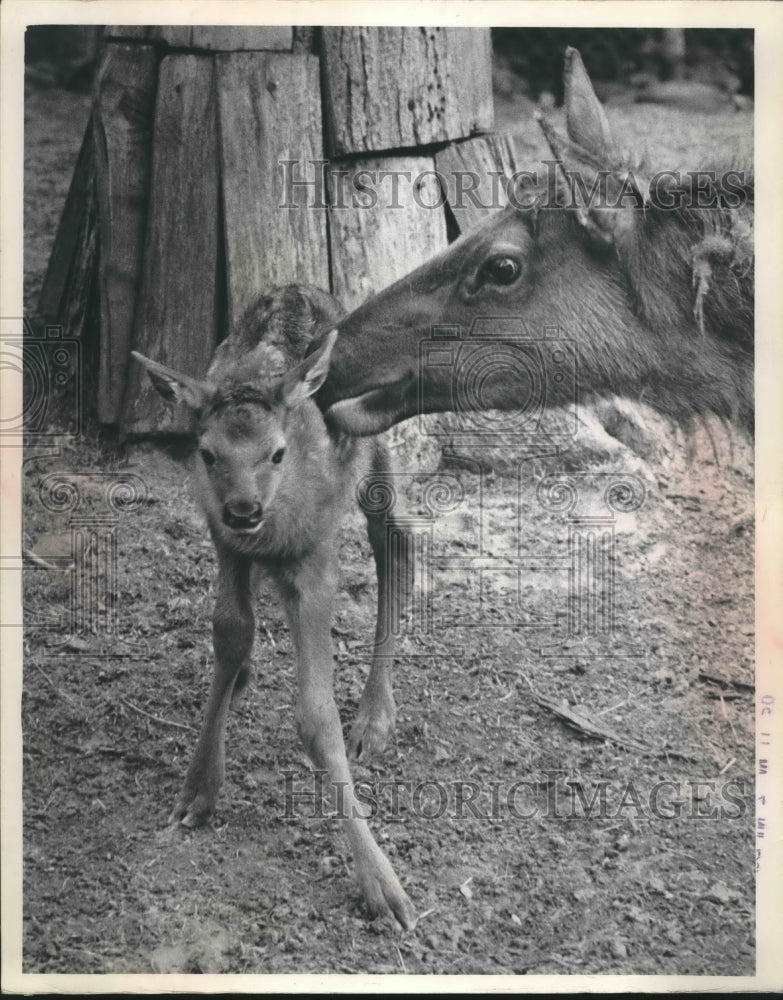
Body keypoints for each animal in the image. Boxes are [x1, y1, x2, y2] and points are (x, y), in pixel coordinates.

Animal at [135, 284, 416, 928]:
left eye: (278, 453)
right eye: (207, 453)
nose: (244, 508)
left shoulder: (316, 560)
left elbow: (315, 716)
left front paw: (382, 886)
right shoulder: (222, 540)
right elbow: (229, 630)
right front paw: (197, 789)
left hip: (375, 445)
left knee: (394, 539)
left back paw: (374, 716)